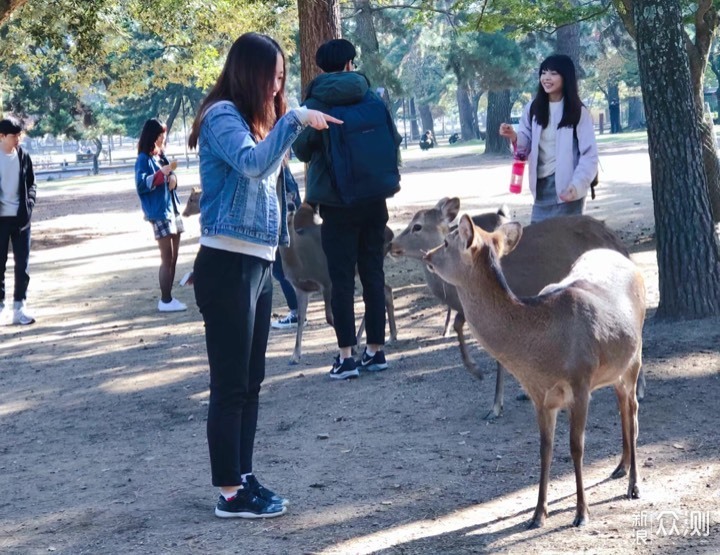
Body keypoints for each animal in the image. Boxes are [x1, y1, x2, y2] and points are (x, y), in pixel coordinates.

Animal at [390, 198, 644, 420]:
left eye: (417, 226)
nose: (391, 245)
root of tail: (618, 242)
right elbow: (461, 325)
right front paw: (487, 382)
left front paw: (492, 402)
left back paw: (638, 389)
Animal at [422, 214, 648, 528]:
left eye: (446, 241)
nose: (427, 255)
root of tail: (629, 260)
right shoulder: (540, 396)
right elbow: (545, 448)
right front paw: (538, 514)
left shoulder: (580, 380)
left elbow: (576, 446)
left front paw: (581, 513)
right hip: (615, 368)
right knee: (623, 406)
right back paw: (620, 467)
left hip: (635, 356)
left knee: (634, 409)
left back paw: (634, 485)